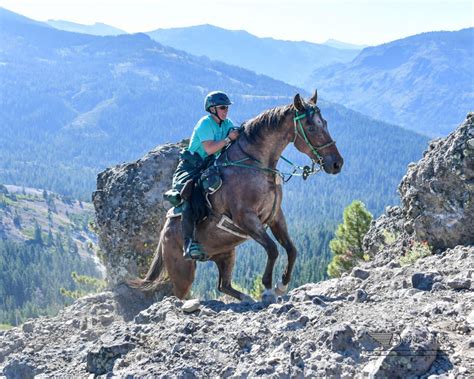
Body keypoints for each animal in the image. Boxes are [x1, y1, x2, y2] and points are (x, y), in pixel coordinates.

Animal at [130, 90, 344, 302]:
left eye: (324, 123)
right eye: (311, 127)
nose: (337, 163)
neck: (254, 164)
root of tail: (163, 235)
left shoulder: (275, 216)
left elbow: (291, 249)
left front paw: (281, 285)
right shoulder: (246, 218)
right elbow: (273, 249)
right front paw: (268, 288)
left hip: (226, 254)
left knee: (223, 285)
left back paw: (247, 298)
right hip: (183, 271)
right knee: (180, 295)